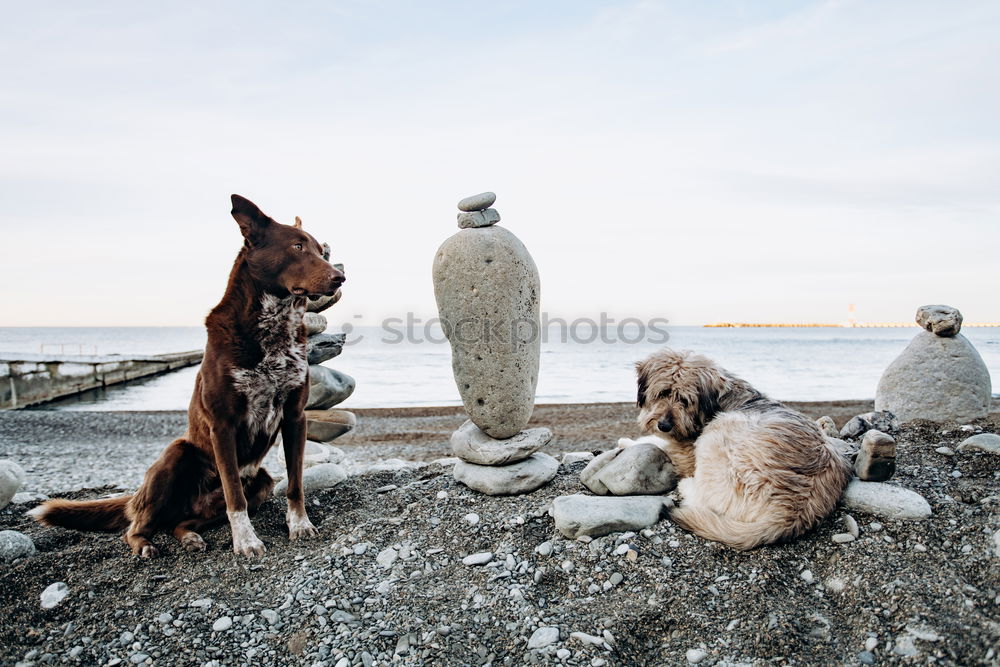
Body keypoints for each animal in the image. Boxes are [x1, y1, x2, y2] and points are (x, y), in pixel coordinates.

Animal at [31, 194, 346, 560]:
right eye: (297, 246)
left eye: (320, 251)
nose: (340, 277)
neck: (274, 328)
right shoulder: (222, 424)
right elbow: (234, 496)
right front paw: (246, 542)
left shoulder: (295, 417)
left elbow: (295, 484)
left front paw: (299, 525)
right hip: (176, 455)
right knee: (136, 527)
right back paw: (144, 545)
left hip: (261, 481)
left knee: (181, 523)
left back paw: (190, 537)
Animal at [636, 350, 848, 548]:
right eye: (661, 393)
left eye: (685, 400)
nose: (663, 425)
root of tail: (792, 510)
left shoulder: (686, 450)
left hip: (719, 435)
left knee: (704, 498)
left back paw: (686, 486)